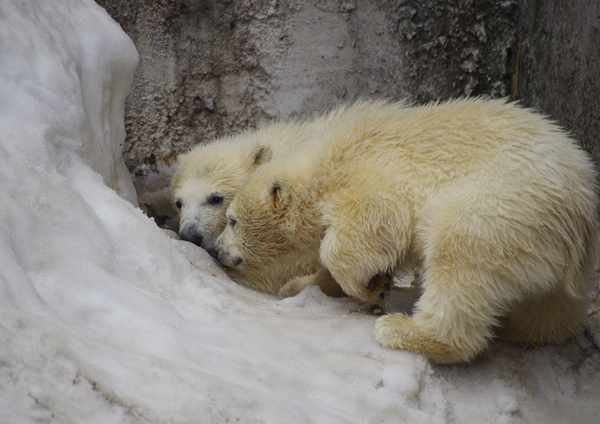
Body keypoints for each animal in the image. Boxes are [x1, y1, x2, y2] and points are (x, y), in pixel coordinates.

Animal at [211, 97, 600, 362]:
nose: (215, 249)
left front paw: (371, 287)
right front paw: (301, 284)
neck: (327, 163)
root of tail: (580, 202)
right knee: (550, 305)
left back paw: (406, 331)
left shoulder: (374, 176)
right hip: (543, 240)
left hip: (499, 207)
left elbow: (365, 230)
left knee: (458, 258)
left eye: (232, 219)